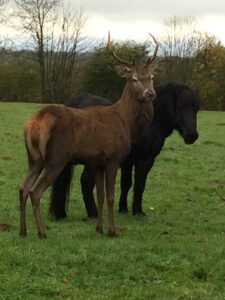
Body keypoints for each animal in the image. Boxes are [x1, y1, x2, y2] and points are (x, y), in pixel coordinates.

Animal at [20, 32, 159, 239]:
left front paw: (99, 229)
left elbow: (100, 196)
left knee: (23, 188)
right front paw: (112, 230)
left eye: (150, 77)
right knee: (35, 191)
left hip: (34, 158)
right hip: (56, 157)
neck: (125, 123)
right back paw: (42, 232)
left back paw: (23, 231)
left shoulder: (96, 162)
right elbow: (110, 197)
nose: (150, 93)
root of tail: (37, 121)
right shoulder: (113, 158)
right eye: (134, 79)